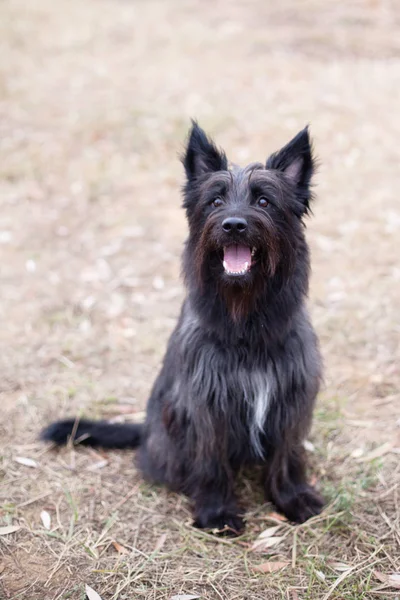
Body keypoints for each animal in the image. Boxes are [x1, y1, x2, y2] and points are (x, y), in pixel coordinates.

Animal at [42, 123, 324, 536]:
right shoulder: (205, 405)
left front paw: (292, 498)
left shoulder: (291, 397)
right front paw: (217, 512)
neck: (245, 324)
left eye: (264, 201)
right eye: (215, 201)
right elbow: (211, 461)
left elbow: (285, 455)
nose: (234, 225)